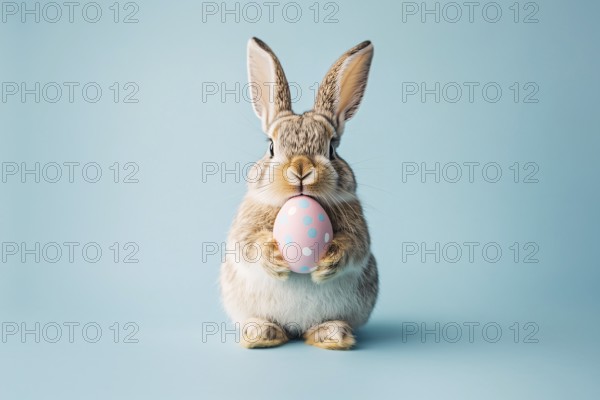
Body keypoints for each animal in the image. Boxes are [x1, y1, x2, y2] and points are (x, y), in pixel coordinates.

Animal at [219, 37, 380, 350]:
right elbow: (248, 246)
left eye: (332, 148)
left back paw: (332, 335)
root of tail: (296, 328)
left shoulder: (359, 233)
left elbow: (354, 246)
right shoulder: (244, 230)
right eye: (271, 147)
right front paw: (274, 256)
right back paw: (262, 333)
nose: (301, 170)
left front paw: (330, 259)